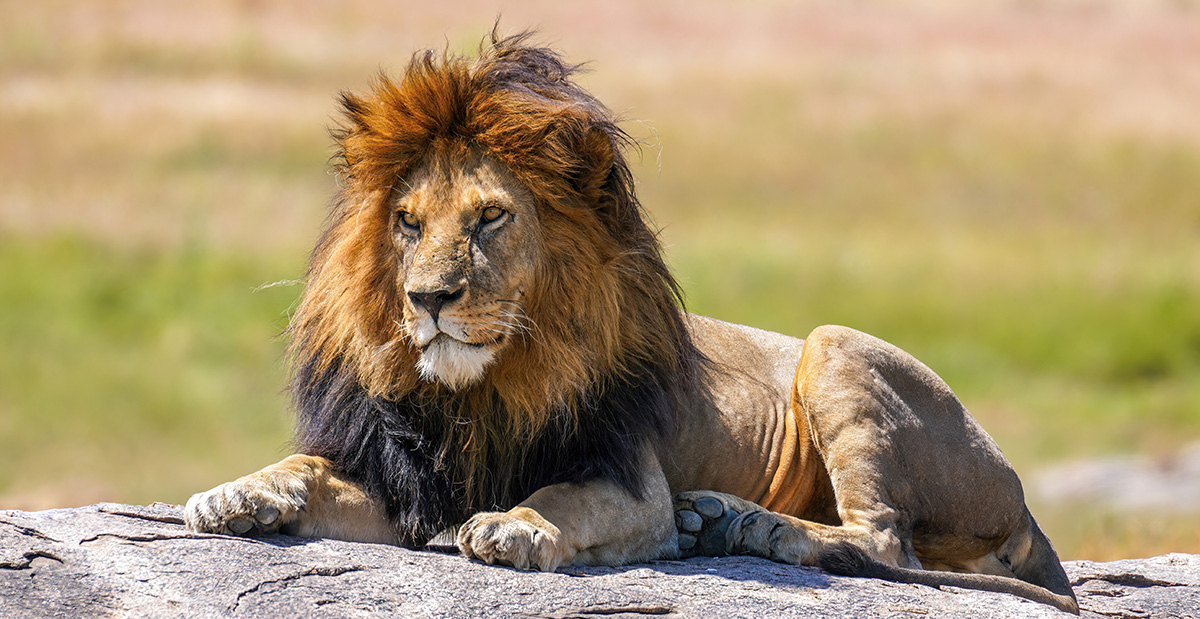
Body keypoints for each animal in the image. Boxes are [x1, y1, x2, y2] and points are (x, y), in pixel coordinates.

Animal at [184, 32, 1079, 614]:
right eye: (407, 222)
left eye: (490, 217)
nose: (428, 298)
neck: (482, 391)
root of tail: (1021, 497)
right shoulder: (404, 484)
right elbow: (304, 466)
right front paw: (237, 493)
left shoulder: (630, 480)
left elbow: (560, 497)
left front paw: (516, 524)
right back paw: (719, 520)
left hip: (835, 348)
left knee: (884, 542)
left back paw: (739, 522)